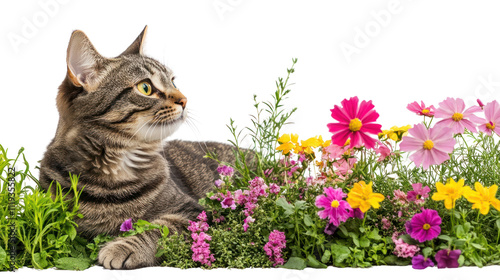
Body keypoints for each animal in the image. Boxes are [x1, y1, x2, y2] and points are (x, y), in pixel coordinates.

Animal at [38, 26, 237, 270]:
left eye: (173, 82)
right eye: (145, 87)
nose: (184, 100)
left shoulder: (195, 212)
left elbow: (161, 228)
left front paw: (122, 247)